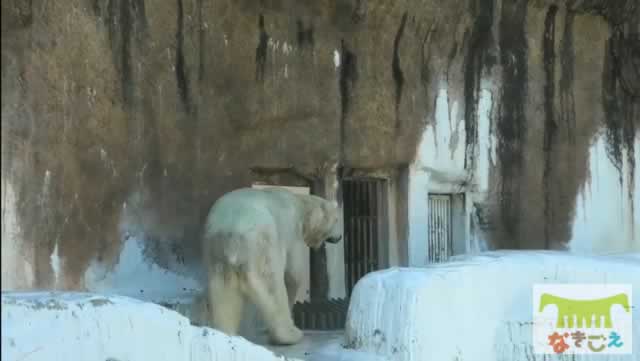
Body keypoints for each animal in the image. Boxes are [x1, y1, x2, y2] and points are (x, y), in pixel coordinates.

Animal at [202, 187, 342, 344]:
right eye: (337, 219)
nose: (339, 237)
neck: (300, 205)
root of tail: (233, 237)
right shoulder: (292, 233)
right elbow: (294, 273)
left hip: (217, 252)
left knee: (223, 294)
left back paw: (224, 333)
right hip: (262, 244)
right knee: (272, 285)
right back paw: (290, 334)